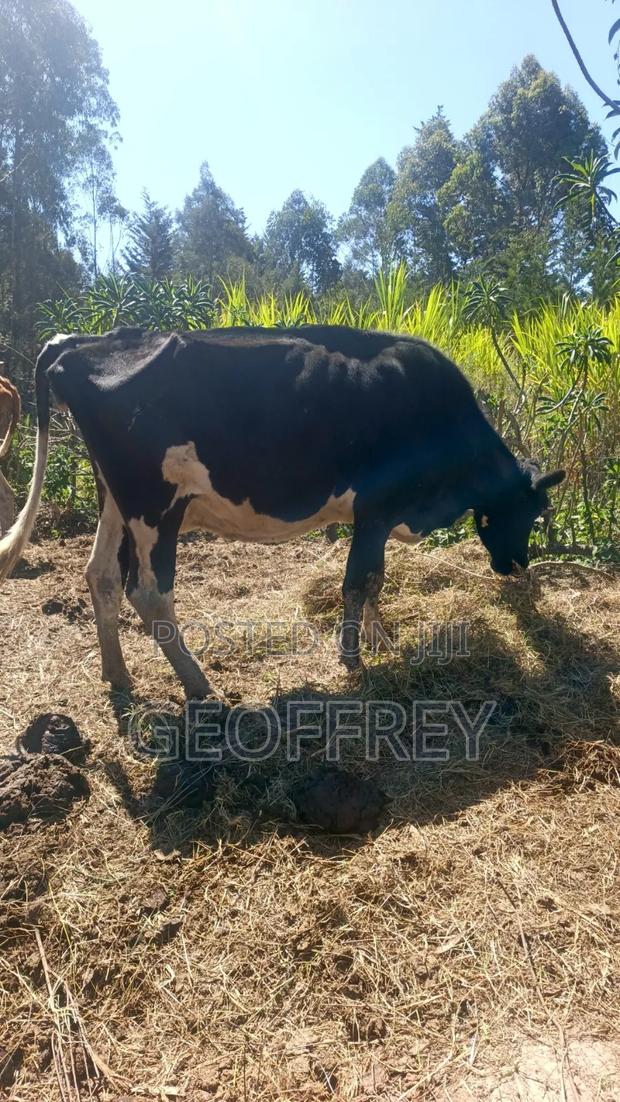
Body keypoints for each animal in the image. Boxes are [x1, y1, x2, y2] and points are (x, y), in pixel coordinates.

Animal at [0, 326, 564, 697]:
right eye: (532, 509)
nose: (516, 565)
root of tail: (82, 343)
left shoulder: (379, 517)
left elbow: (376, 580)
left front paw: (380, 639)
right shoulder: (376, 507)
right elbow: (358, 581)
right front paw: (352, 658)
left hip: (115, 500)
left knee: (100, 576)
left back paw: (118, 675)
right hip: (155, 507)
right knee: (149, 592)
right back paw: (201, 686)